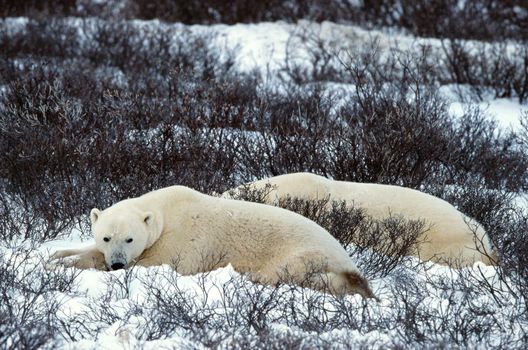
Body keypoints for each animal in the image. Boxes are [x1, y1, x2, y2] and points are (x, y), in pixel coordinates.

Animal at [50, 186, 376, 298]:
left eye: (130, 239)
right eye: (107, 236)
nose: (117, 264)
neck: (164, 211)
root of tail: (349, 261)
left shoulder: (183, 241)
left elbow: (158, 263)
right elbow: (89, 252)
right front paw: (59, 256)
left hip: (305, 253)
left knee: (292, 273)